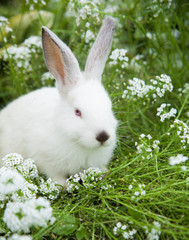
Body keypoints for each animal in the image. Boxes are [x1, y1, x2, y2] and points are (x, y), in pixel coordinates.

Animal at [0, 16, 117, 186]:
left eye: (109, 108)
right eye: (77, 112)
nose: (103, 137)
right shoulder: (45, 160)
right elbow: (55, 175)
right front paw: (66, 186)